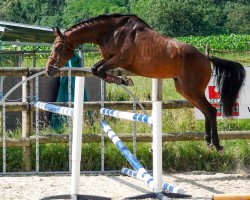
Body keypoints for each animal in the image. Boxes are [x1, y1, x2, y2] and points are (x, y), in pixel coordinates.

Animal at [46, 13, 245, 153]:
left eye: (57, 47)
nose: (49, 70)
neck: (111, 31)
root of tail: (206, 57)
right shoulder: (109, 59)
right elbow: (96, 69)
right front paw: (122, 79)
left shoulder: (120, 59)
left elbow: (100, 71)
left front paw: (124, 80)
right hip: (184, 89)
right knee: (206, 111)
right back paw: (208, 142)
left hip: (192, 89)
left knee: (210, 111)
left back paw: (217, 145)